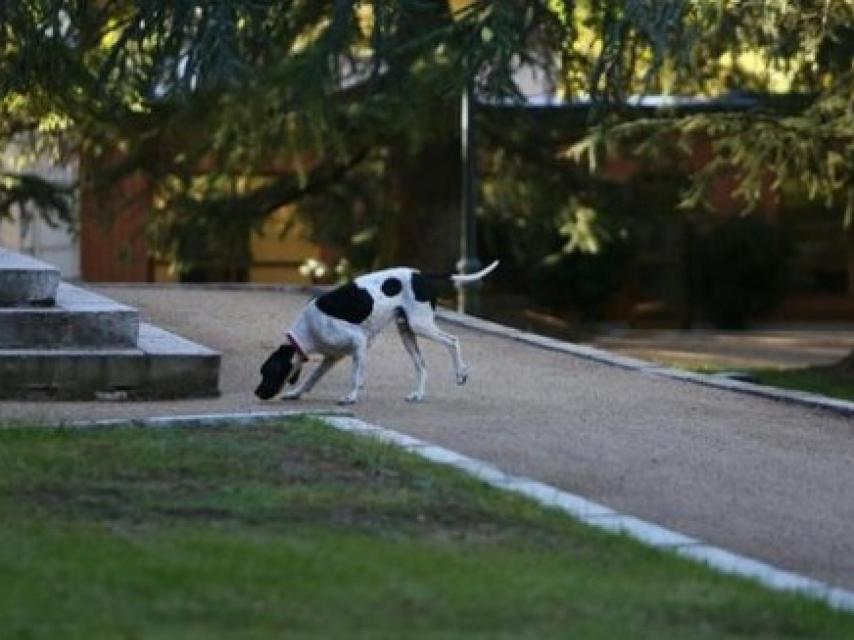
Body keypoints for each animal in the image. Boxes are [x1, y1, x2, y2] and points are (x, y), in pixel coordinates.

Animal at [258, 262, 502, 404]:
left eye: (269, 371)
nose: (257, 393)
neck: (308, 328)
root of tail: (422, 275)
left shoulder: (359, 343)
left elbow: (355, 377)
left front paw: (351, 397)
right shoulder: (332, 358)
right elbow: (312, 379)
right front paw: (295, 393)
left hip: (420, 326)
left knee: (452, 341)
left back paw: (461, 373)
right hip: (407, 333)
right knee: (421, 365)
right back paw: (418, 394)